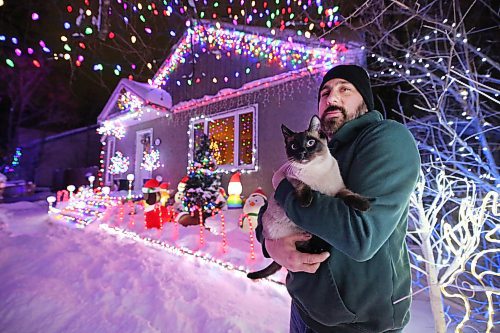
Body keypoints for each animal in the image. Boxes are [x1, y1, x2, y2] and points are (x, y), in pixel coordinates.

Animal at [248, 115, 370, 278]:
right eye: (294, 146)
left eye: (310, 143)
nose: (303, 153)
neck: (316, 169)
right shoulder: (291, 177)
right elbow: (303, 185)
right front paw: (306, 201)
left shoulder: (337, 190)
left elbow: (349, 195)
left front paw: (364, 205)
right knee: (301, 245)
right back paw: (317, 249)